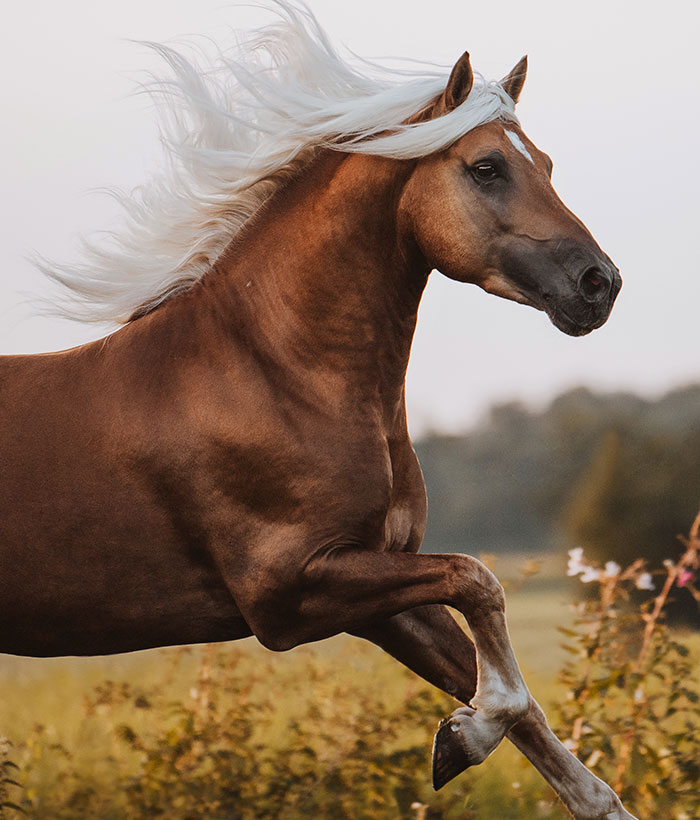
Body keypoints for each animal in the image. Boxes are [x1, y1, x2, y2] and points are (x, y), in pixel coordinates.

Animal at [0, 6, 632, 820]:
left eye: (546, 163)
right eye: (487, 167)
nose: (599, 284)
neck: (276, 378)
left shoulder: (377, 590)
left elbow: (526, 706)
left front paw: (470, 740)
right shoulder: (289, 593)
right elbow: (478, 581)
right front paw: (466, 734)